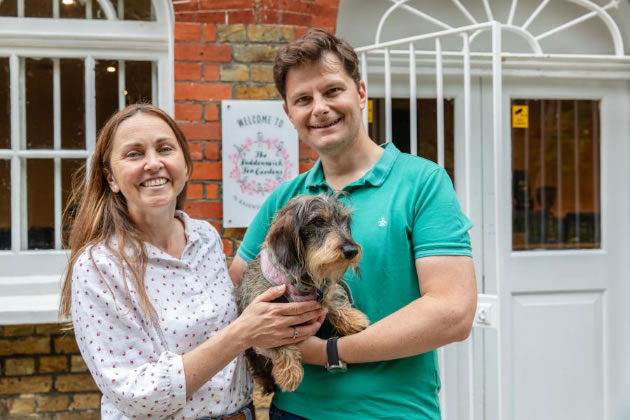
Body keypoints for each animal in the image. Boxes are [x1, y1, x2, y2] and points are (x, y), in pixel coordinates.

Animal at [236, 194, 370, 394]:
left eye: (344, 221)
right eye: (318, 221)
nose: (352, 250)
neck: (299, 281)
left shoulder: (322, 289)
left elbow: (332, 298)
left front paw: (352, 319)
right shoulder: (267, 317)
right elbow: (280, 343)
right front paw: (290, 372)